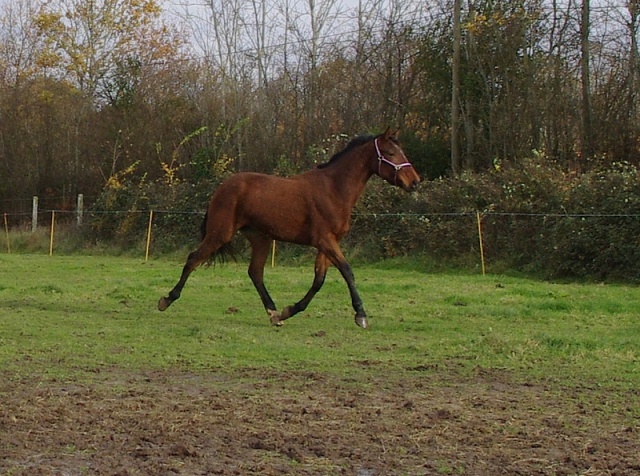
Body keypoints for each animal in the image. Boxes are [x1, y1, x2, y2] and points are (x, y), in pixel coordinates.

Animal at [158, 128, 420, 330]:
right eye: (390, 153)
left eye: (402, 151)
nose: (415, 182)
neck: (334, 189)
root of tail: (222, 187)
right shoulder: (325, 240)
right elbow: (347, 271)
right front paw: (361, 315)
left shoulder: (327, 243)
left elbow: (319, 280)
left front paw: (289, 310)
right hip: (220, 234)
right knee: (193, 259)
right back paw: (167, 300)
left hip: (260, 238)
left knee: (255, 272)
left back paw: (274, 314)